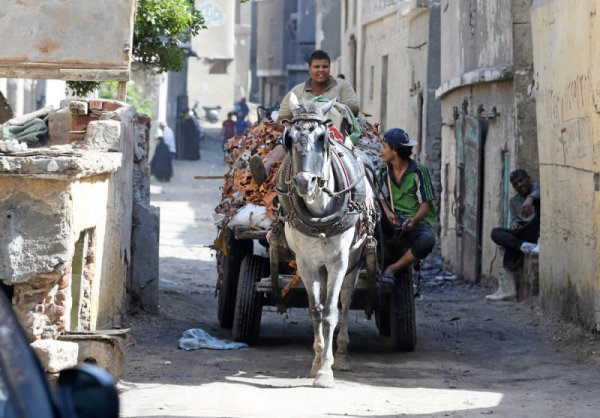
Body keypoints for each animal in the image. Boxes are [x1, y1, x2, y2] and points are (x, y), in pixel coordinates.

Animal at [276, 93, 370, 386]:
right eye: (289, 138)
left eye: (322, 138)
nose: (304, 183)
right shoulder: (306, 262)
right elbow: (316, 311)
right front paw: (317, 362)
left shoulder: (339, 261)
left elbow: (331, 312)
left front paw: (326, 371)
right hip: (320, 264)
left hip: (354, 260)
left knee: (346, 300)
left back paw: (341, 354)